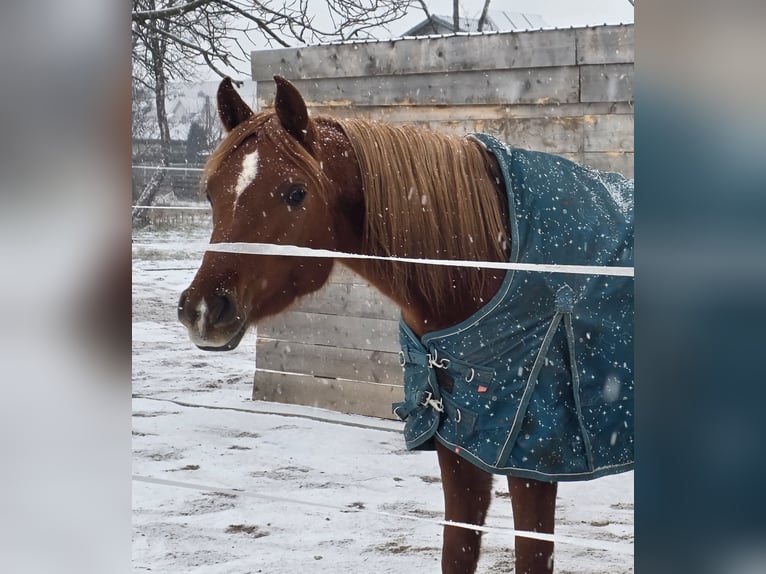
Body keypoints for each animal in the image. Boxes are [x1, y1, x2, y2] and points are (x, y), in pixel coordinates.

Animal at [178, 75, 634, 574]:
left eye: (295, 192)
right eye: (211, 192)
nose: (202, 310)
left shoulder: (532, 462)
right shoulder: (457, 448)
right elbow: (457, 550)